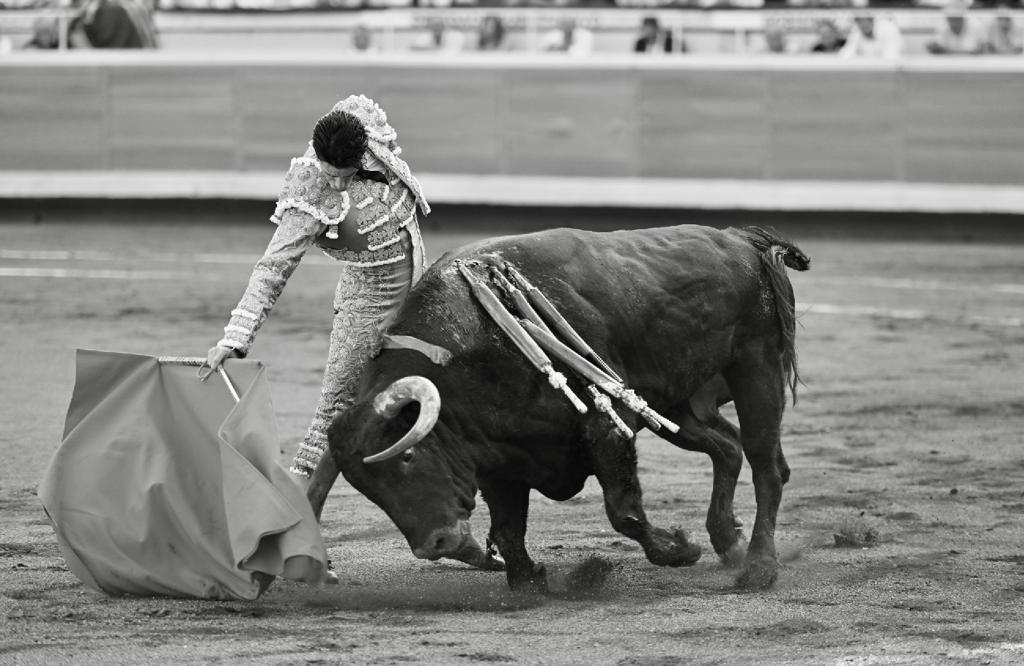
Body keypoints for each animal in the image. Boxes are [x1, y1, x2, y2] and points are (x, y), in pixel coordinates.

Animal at [307, 224, 810, 591]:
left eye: (408, 455)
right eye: (368, 489)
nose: (437, 544)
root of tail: (742, 240)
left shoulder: (607, 426)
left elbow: (623, 510)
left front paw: (677, 550)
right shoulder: (496, 458)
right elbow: (509, 528)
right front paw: (530, 580)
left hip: (756, 367)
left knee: (766, 464)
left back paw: (759, 568)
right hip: (678, 405)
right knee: (727, 448)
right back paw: (728, 542)